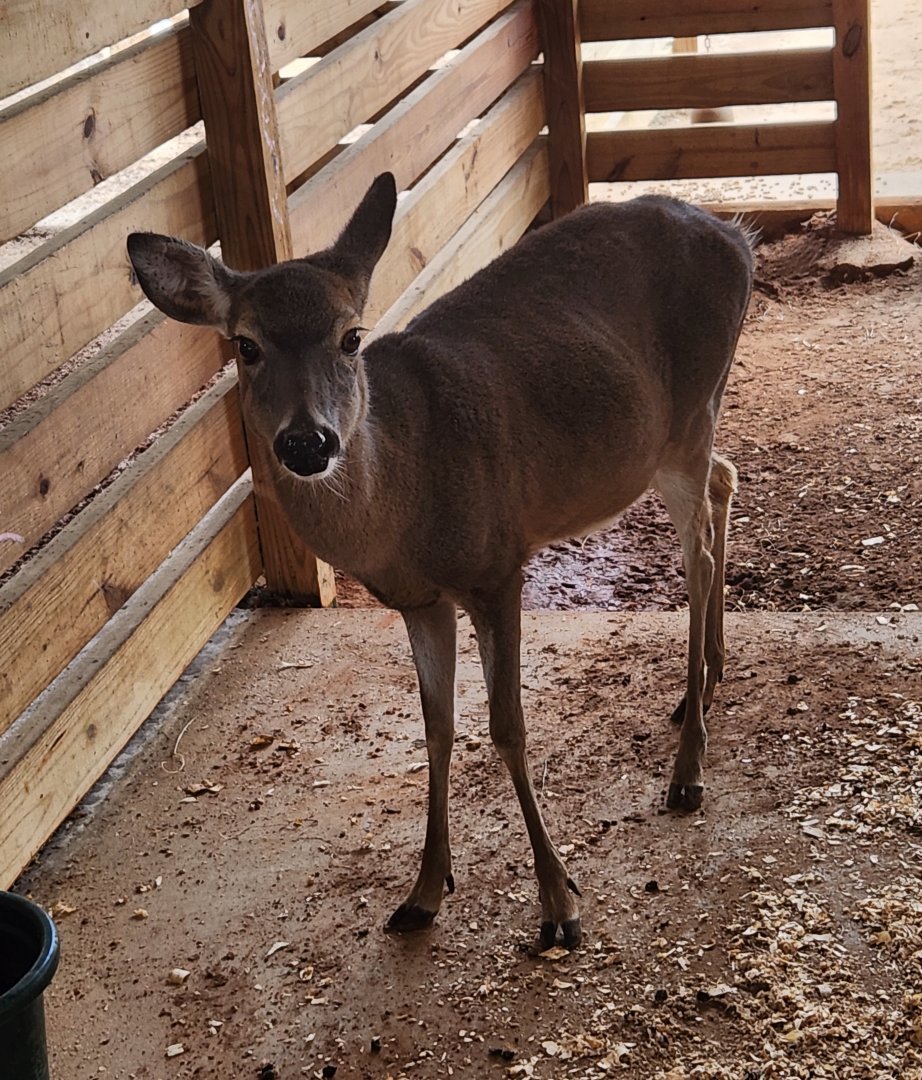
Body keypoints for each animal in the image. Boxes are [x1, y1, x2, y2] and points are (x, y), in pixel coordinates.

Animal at [126, 173, 753, 949]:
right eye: (245, 344)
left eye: (351, 336)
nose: (308, 442)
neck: (406, 501)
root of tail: (737, 235)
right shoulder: (419, 601)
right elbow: (437, 728)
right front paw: (423, 892)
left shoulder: (496, 565)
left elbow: (507, 727)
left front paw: (559, 904)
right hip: (682, 434)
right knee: (726, 480)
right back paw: (704, 684)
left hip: (688, 418)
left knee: (698, 553)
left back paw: (689, 766)